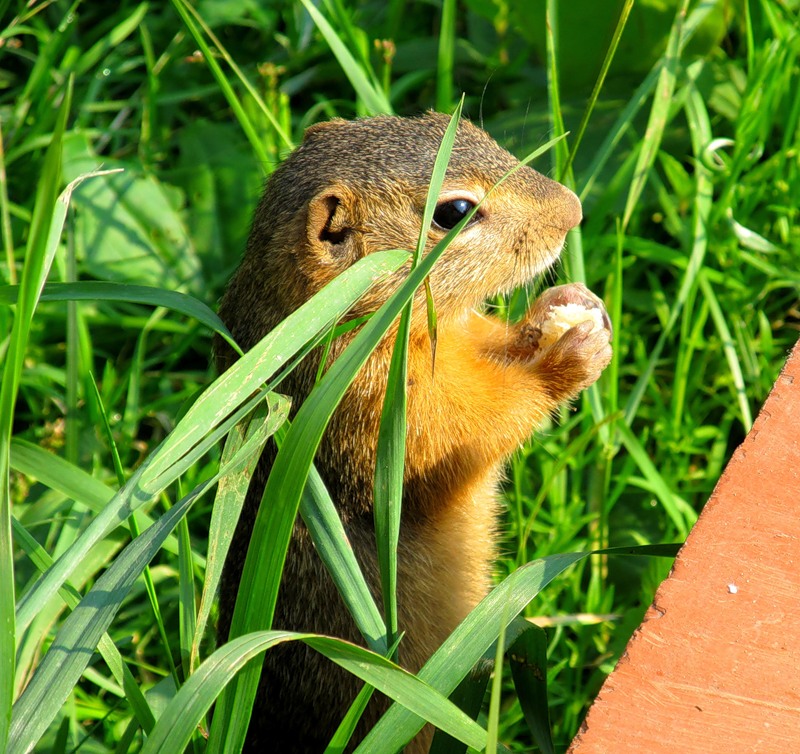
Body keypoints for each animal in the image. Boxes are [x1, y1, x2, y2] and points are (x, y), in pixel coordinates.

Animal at [214, 108, 612, 748]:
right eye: (454, 212)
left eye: (464, 126)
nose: (572, 210)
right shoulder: (368, 406)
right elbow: (463, 436)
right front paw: (566, 357)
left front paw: (562, 307)